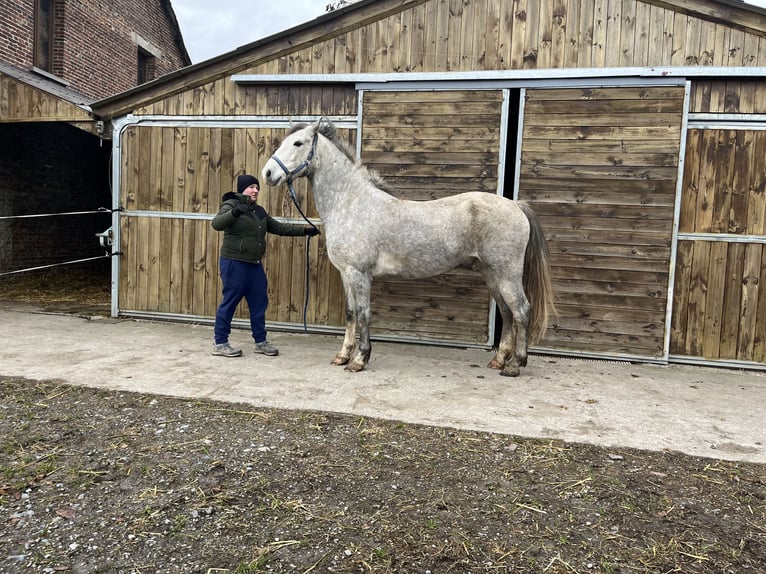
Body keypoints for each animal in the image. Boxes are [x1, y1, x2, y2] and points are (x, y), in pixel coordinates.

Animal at [260, 117, 556, 378]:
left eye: (298, 143)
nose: (268, 173)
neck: (351, 202)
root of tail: (515, 205)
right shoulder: (346, 273)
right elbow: (351, 313)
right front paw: (342, 356)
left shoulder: (360, 274)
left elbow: (364, 313)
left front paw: (359, 360)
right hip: (491, 273)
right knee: (507, 312)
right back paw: (498, 360)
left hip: (507, 274)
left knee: (521, 311)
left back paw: (515, 365)